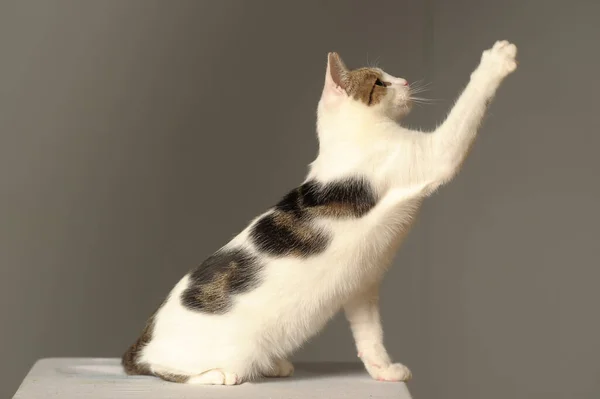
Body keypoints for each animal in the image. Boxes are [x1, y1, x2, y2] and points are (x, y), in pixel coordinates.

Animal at [120, 39, 516, 384]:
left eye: (389, 77)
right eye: (380, 82)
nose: (403, 80)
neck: (350, 137)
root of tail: (145, 336)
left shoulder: (361, 286)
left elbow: (370, 337)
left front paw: (383, 371)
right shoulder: (436, 154)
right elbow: (467, 108)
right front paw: (497, 60)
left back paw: (274, 365)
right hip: (220, 354)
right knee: (163, 369)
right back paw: (218, 376)